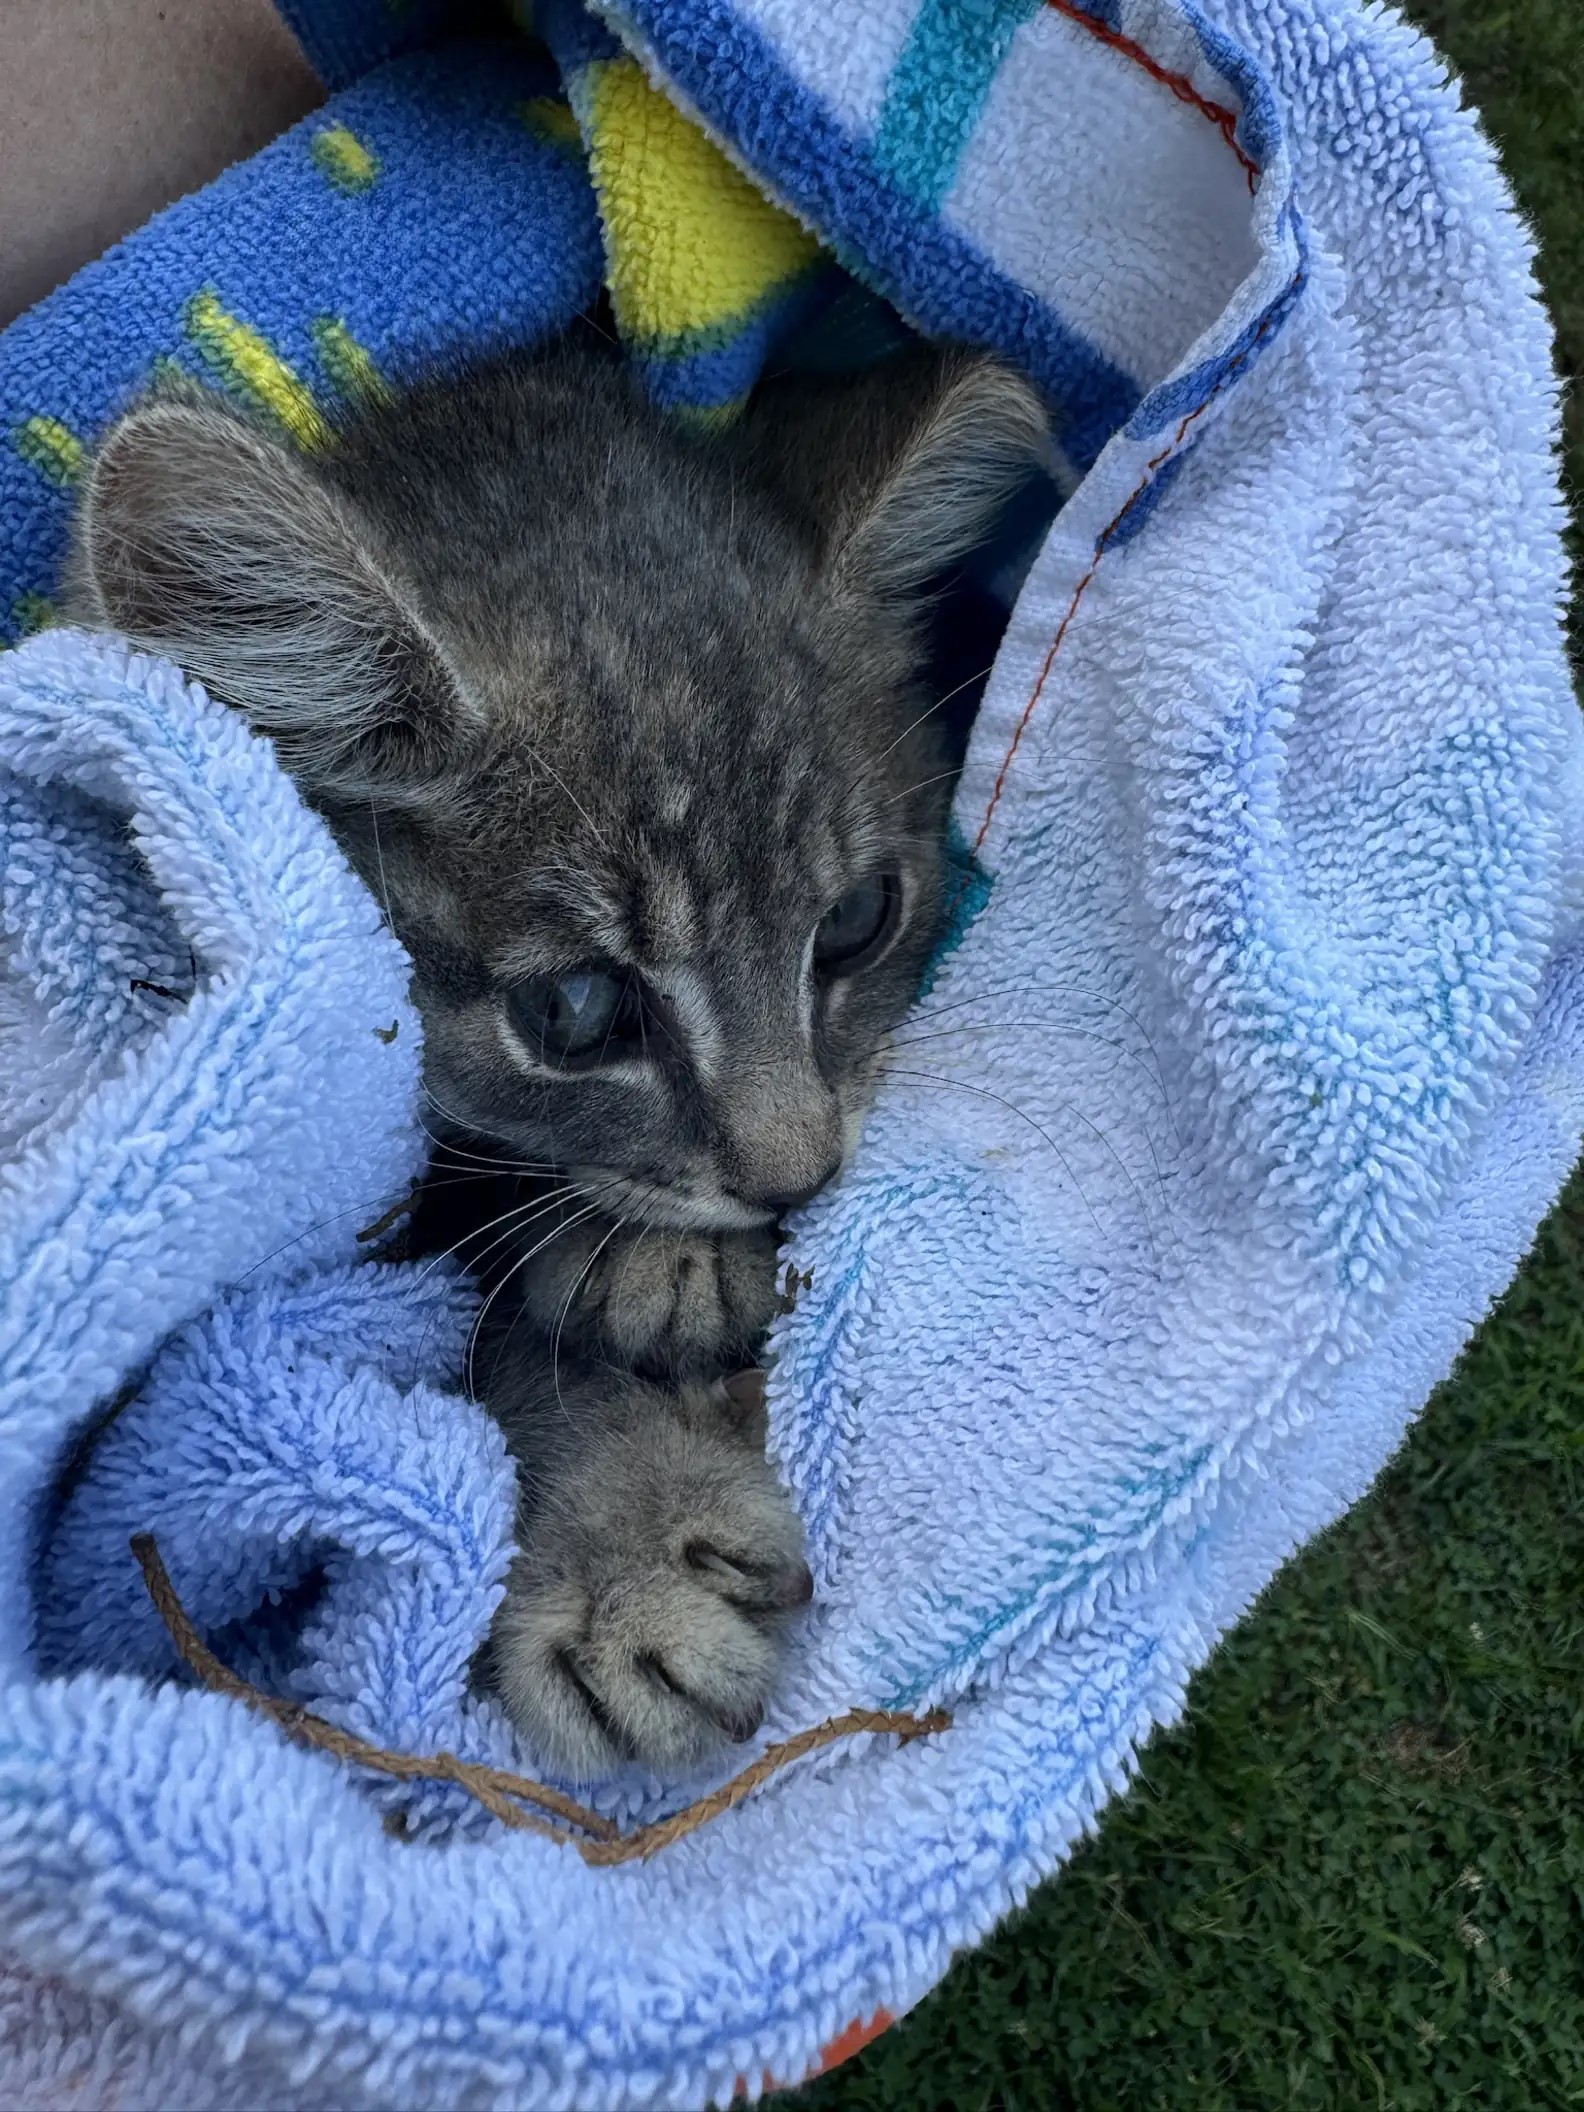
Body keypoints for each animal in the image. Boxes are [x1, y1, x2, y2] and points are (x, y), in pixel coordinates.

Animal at [65, 333, 1056, 1782]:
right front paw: (617, 1556)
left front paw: (650, 1262)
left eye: (859, 920)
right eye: (579, 1014)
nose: (797, 1175)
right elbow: (433, 1383)